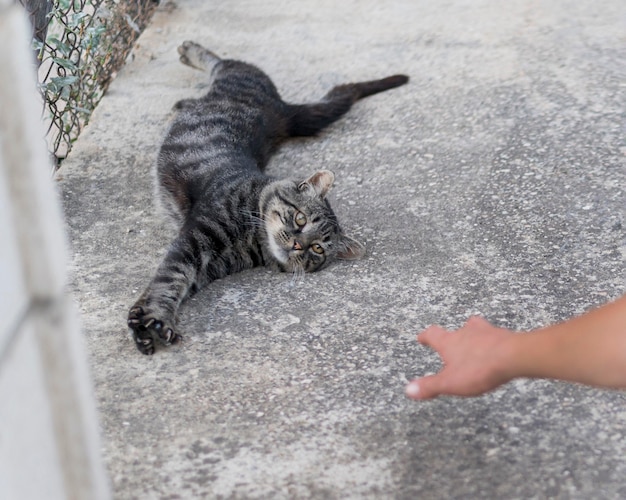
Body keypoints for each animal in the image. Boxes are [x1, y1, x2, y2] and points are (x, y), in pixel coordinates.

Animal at [129, 41, 408, 354]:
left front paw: (143, 322)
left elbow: (177, 283)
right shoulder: (194, 238)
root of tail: (282, 111)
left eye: (318, 249)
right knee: (224, 62)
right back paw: (190, 51)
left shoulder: (208, 267)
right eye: (300, 219)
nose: (299, 244)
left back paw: (182, 100)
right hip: (242, 77)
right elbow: (171, 278)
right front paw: (157, 318)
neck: (252, 240)